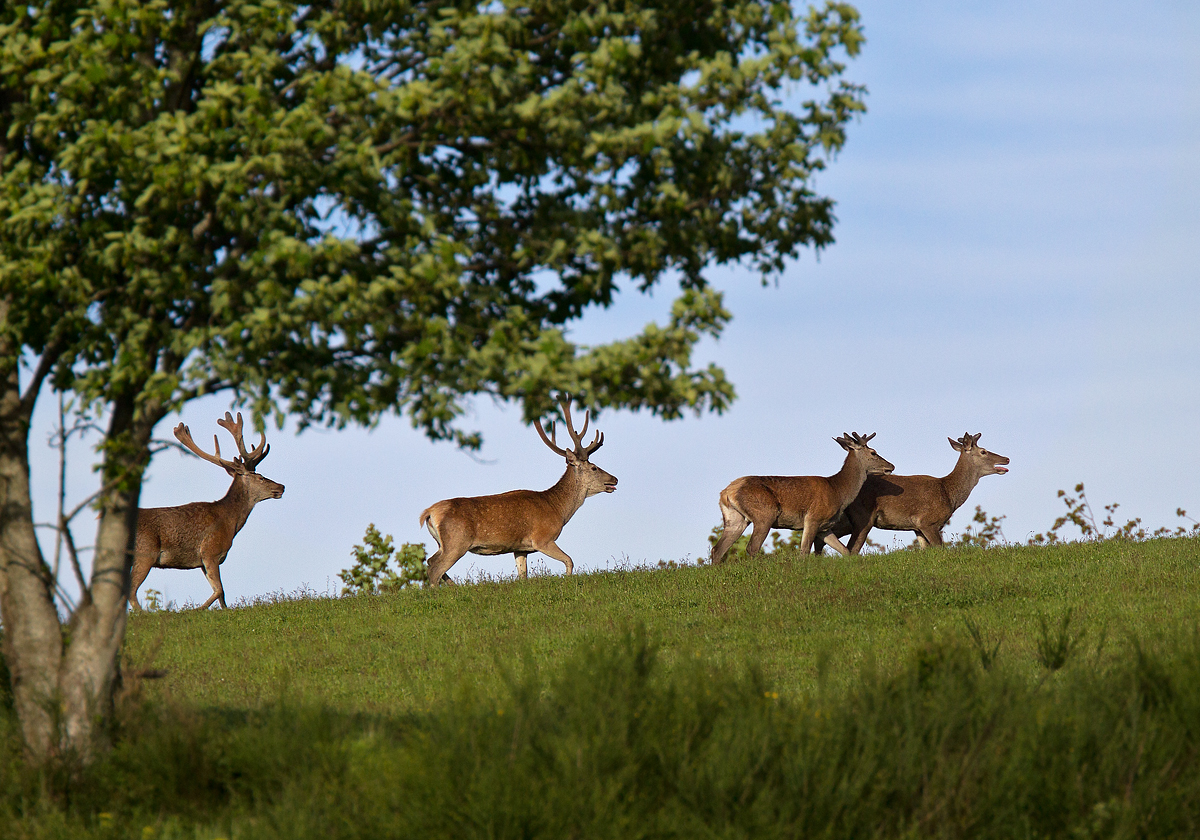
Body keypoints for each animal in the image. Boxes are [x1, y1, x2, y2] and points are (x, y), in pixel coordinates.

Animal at [129, 412, 285, 609]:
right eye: (261, 477)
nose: (281, 486)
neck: (230, 522)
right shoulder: (210, 551)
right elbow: (219, 590)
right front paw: (196, 609)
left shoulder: (204, 561)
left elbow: (222, 595)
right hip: (145, 552)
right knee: (131, 591)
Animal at [417, 393, 619, 583]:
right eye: (594, 467)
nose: (615, 479)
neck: (558, 510)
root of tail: (429, 512)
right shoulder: (543, 538)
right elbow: (569, 560)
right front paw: (568, 581)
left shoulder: (520, 549)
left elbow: (523, 575)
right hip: (456, 541)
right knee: (435, 569)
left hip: (442, 543)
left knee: (430, 562)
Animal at [705, 432, 897, 564]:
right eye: (873, 452)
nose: (891, 466)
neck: (838, 491)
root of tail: (726, 492)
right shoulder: (813, 517)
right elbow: (804, 551)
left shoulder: (824, 526)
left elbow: (845, 551)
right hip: (764, 513)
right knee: (752, 547)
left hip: (735, 518)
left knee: (717, 549)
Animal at [820, 429, 1008, 554]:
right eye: (983, 451)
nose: (1006, 459)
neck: (949, 494)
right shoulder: (928, 521)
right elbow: (940, 549)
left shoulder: (917, 527)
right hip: (862, 518)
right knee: (849, 549)